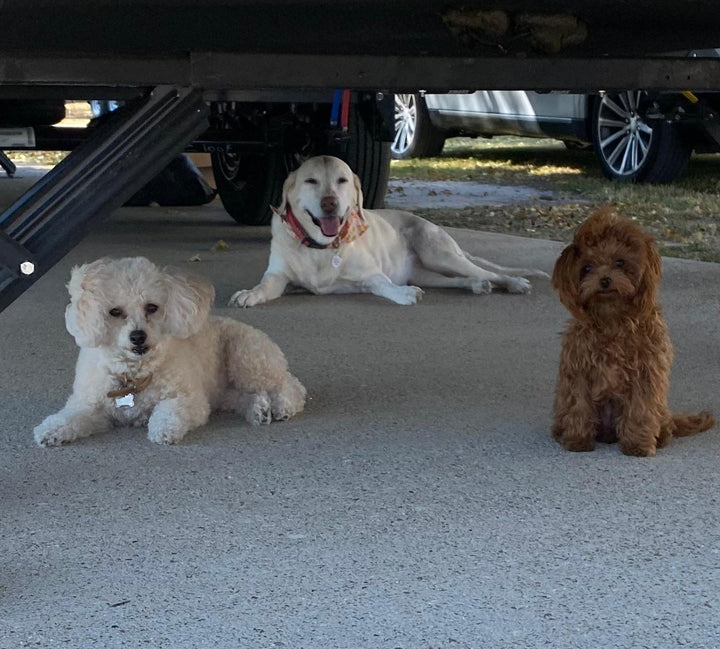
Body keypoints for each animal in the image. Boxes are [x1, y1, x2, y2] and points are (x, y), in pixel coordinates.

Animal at [34, 258, 304, 446]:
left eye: (152, 307)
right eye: (115, 312)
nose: (138, 336)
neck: (134, 375)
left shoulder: (192, 400)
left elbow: (169, 410)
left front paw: (163, 428)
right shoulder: (91, 406)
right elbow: (72, 416)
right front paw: (51, 429)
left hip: (247, 357)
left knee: (289, 385)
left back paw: (282, 405)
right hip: (225, 391)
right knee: (244, 396)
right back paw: (258, 409)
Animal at [228, 157, 548, 308]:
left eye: (342, 180)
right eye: (311, 181)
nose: (330, 203)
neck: (321, 248)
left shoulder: (371, 275)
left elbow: (384, 286)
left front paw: (403, 294)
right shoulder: (279, 277)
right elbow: (265, 286)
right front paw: (249, 294)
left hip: (439, 254)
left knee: (489, 272)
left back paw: (514, 282)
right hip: (427, 272)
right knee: (463, 279)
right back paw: (477, 285)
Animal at [552, 208, 716, 456]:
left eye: (620, 262)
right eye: (587, 267)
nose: (605, 280)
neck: (612, 317)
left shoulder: (646, 373)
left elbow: (640, 411)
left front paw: (638, 445)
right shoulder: (578, 370)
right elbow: (578, 406)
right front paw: (577, 440)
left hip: (660, 411)